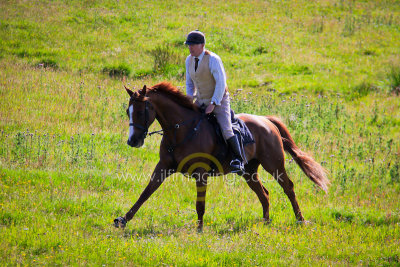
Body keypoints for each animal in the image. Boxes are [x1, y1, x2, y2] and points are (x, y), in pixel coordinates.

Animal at [114, 82, 330, 232]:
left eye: (141, 111)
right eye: (127, 111)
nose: (133, 141)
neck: (179, 130)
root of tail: (267, 121)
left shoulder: (201, 173)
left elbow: (200, 203)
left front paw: (199, 230)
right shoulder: (163, 167)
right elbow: (146, 193)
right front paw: (123, 220)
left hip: (274, 165)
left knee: (288, 188)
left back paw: (300, 220)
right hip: (249, 171)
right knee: (264, 193)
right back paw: (265, 222)